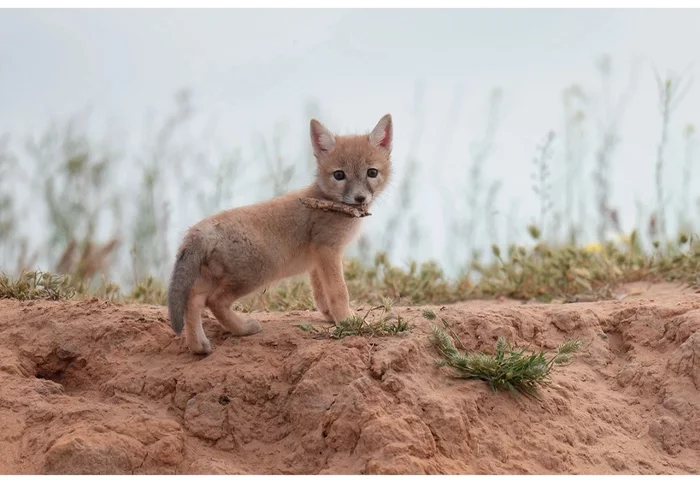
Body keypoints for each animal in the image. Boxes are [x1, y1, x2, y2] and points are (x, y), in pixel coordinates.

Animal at [167, 113, 393, 354]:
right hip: (257, 274)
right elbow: (339, 291)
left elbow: (321, 294)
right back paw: (244, 329)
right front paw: (348, 321)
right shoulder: (327, 250)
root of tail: (201, 229)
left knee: (193, 299)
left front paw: (332, 317)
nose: (360, 198)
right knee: (214, 301)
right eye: (339, 175)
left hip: (218, 278)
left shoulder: (317, 258)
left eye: (372, 173)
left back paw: (198, 346)